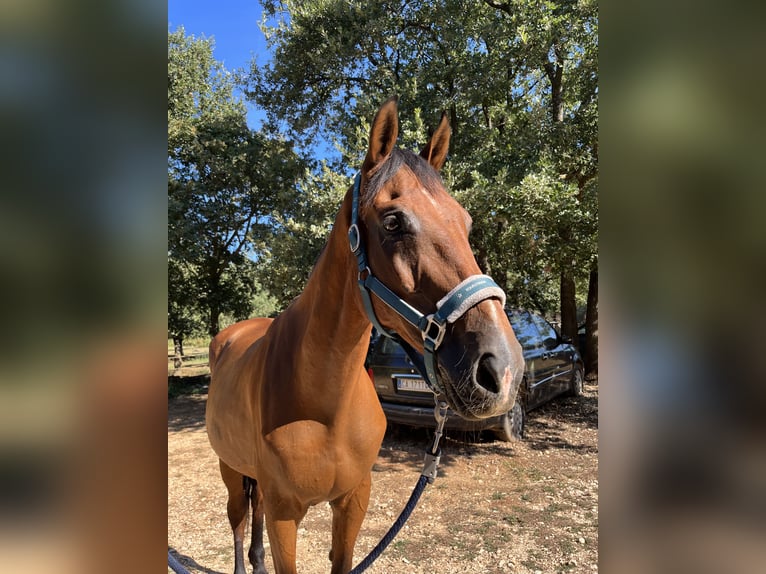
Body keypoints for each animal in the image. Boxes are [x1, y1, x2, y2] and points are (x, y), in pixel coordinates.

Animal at [207, 99, 524, 574]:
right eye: (393, 222)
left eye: (465, 222)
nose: (502, 368)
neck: (325, 404)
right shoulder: (286, 515)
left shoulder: (354, 500)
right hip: (229, 467)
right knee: (239, 520)